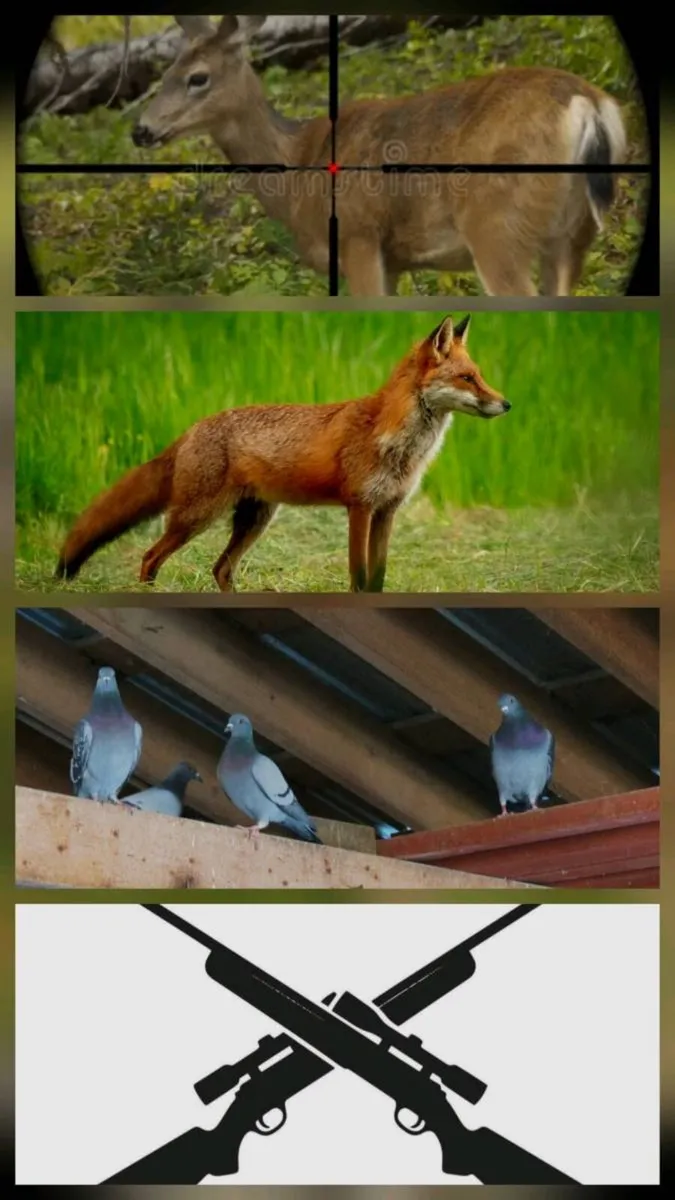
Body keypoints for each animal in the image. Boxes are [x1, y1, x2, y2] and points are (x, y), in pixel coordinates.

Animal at [55, 314, 510, 593]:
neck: (396, 441)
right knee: (151, 558)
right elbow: (358, 576)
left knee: (220, 568)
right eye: (467, 378)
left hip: (254, 520)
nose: (506, 405)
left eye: (479, 376)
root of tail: (191, 430)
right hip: (196, 517)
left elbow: (377, 578)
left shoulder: (387, 511)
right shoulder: (360, 507)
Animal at [131, 15, 628, 296]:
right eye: (165, 73)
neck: (298, 166)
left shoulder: (358, 235)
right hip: (572, 234)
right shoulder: (394, 257)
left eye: (197, 77)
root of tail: (589, 104)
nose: (140, 130)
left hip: (497, 226)